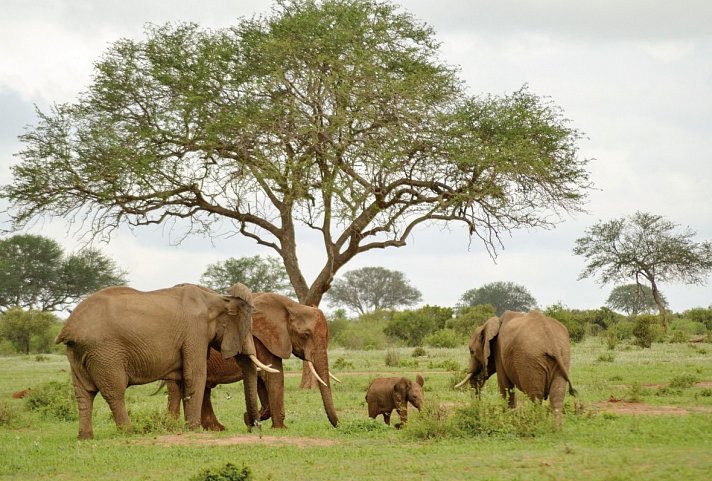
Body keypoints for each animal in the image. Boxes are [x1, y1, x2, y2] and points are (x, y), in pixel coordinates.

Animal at [52, 282, 274, 438]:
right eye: (248, 328)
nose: (253, 426)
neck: (217, 298)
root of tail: (69, 328)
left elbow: (183, 379)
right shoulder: (195, 331)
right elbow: (195, 375)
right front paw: (194, 430)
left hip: (77, 353)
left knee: (84, 393)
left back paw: (85, 437)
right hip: (105, 352)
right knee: (114, 392)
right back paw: (128, 433)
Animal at [165, 290, 340, 430]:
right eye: (305, 335)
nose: (338, 425)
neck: (292, 306)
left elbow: (264, 379)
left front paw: (252, 419)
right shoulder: (259, 338)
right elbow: (273, 374)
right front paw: (278, 428)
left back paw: (216, 429)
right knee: (177, 387)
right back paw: (176, 425)